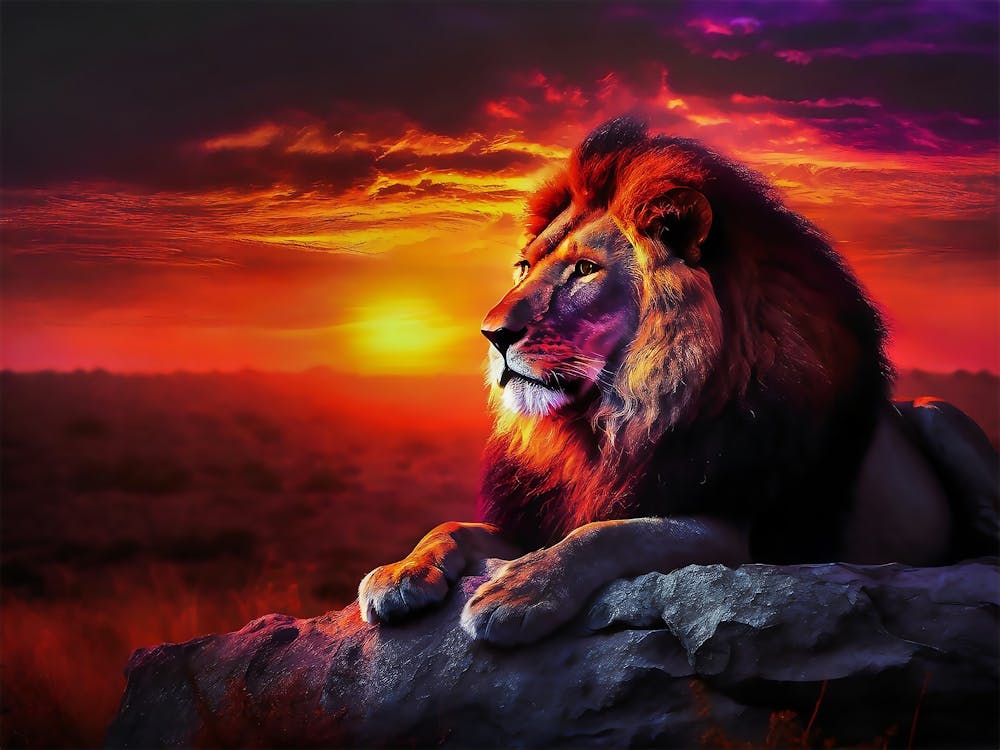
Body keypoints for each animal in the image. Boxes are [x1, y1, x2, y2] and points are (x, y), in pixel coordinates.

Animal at [359, 117, 999, 646]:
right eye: (523, 266)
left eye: (585, 269)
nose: (492, 334)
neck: (611, 421)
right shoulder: (543, 513)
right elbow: (453, 525)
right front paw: (399, 573)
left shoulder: (734, 532)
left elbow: (611, 534)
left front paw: (518, 592)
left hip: (936, 411)